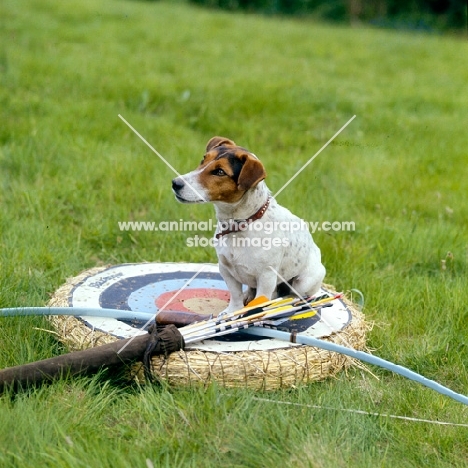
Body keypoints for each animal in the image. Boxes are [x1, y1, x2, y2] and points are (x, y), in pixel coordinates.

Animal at [172, 138, 326, 314]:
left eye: (220, 172)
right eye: (203, 159)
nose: (175, 183)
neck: (239, 226)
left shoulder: (266, 276)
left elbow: (261, 300)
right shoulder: (225, 269)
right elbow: (235, 294)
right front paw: (233, 311)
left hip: (304, 281)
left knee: (293, 294)